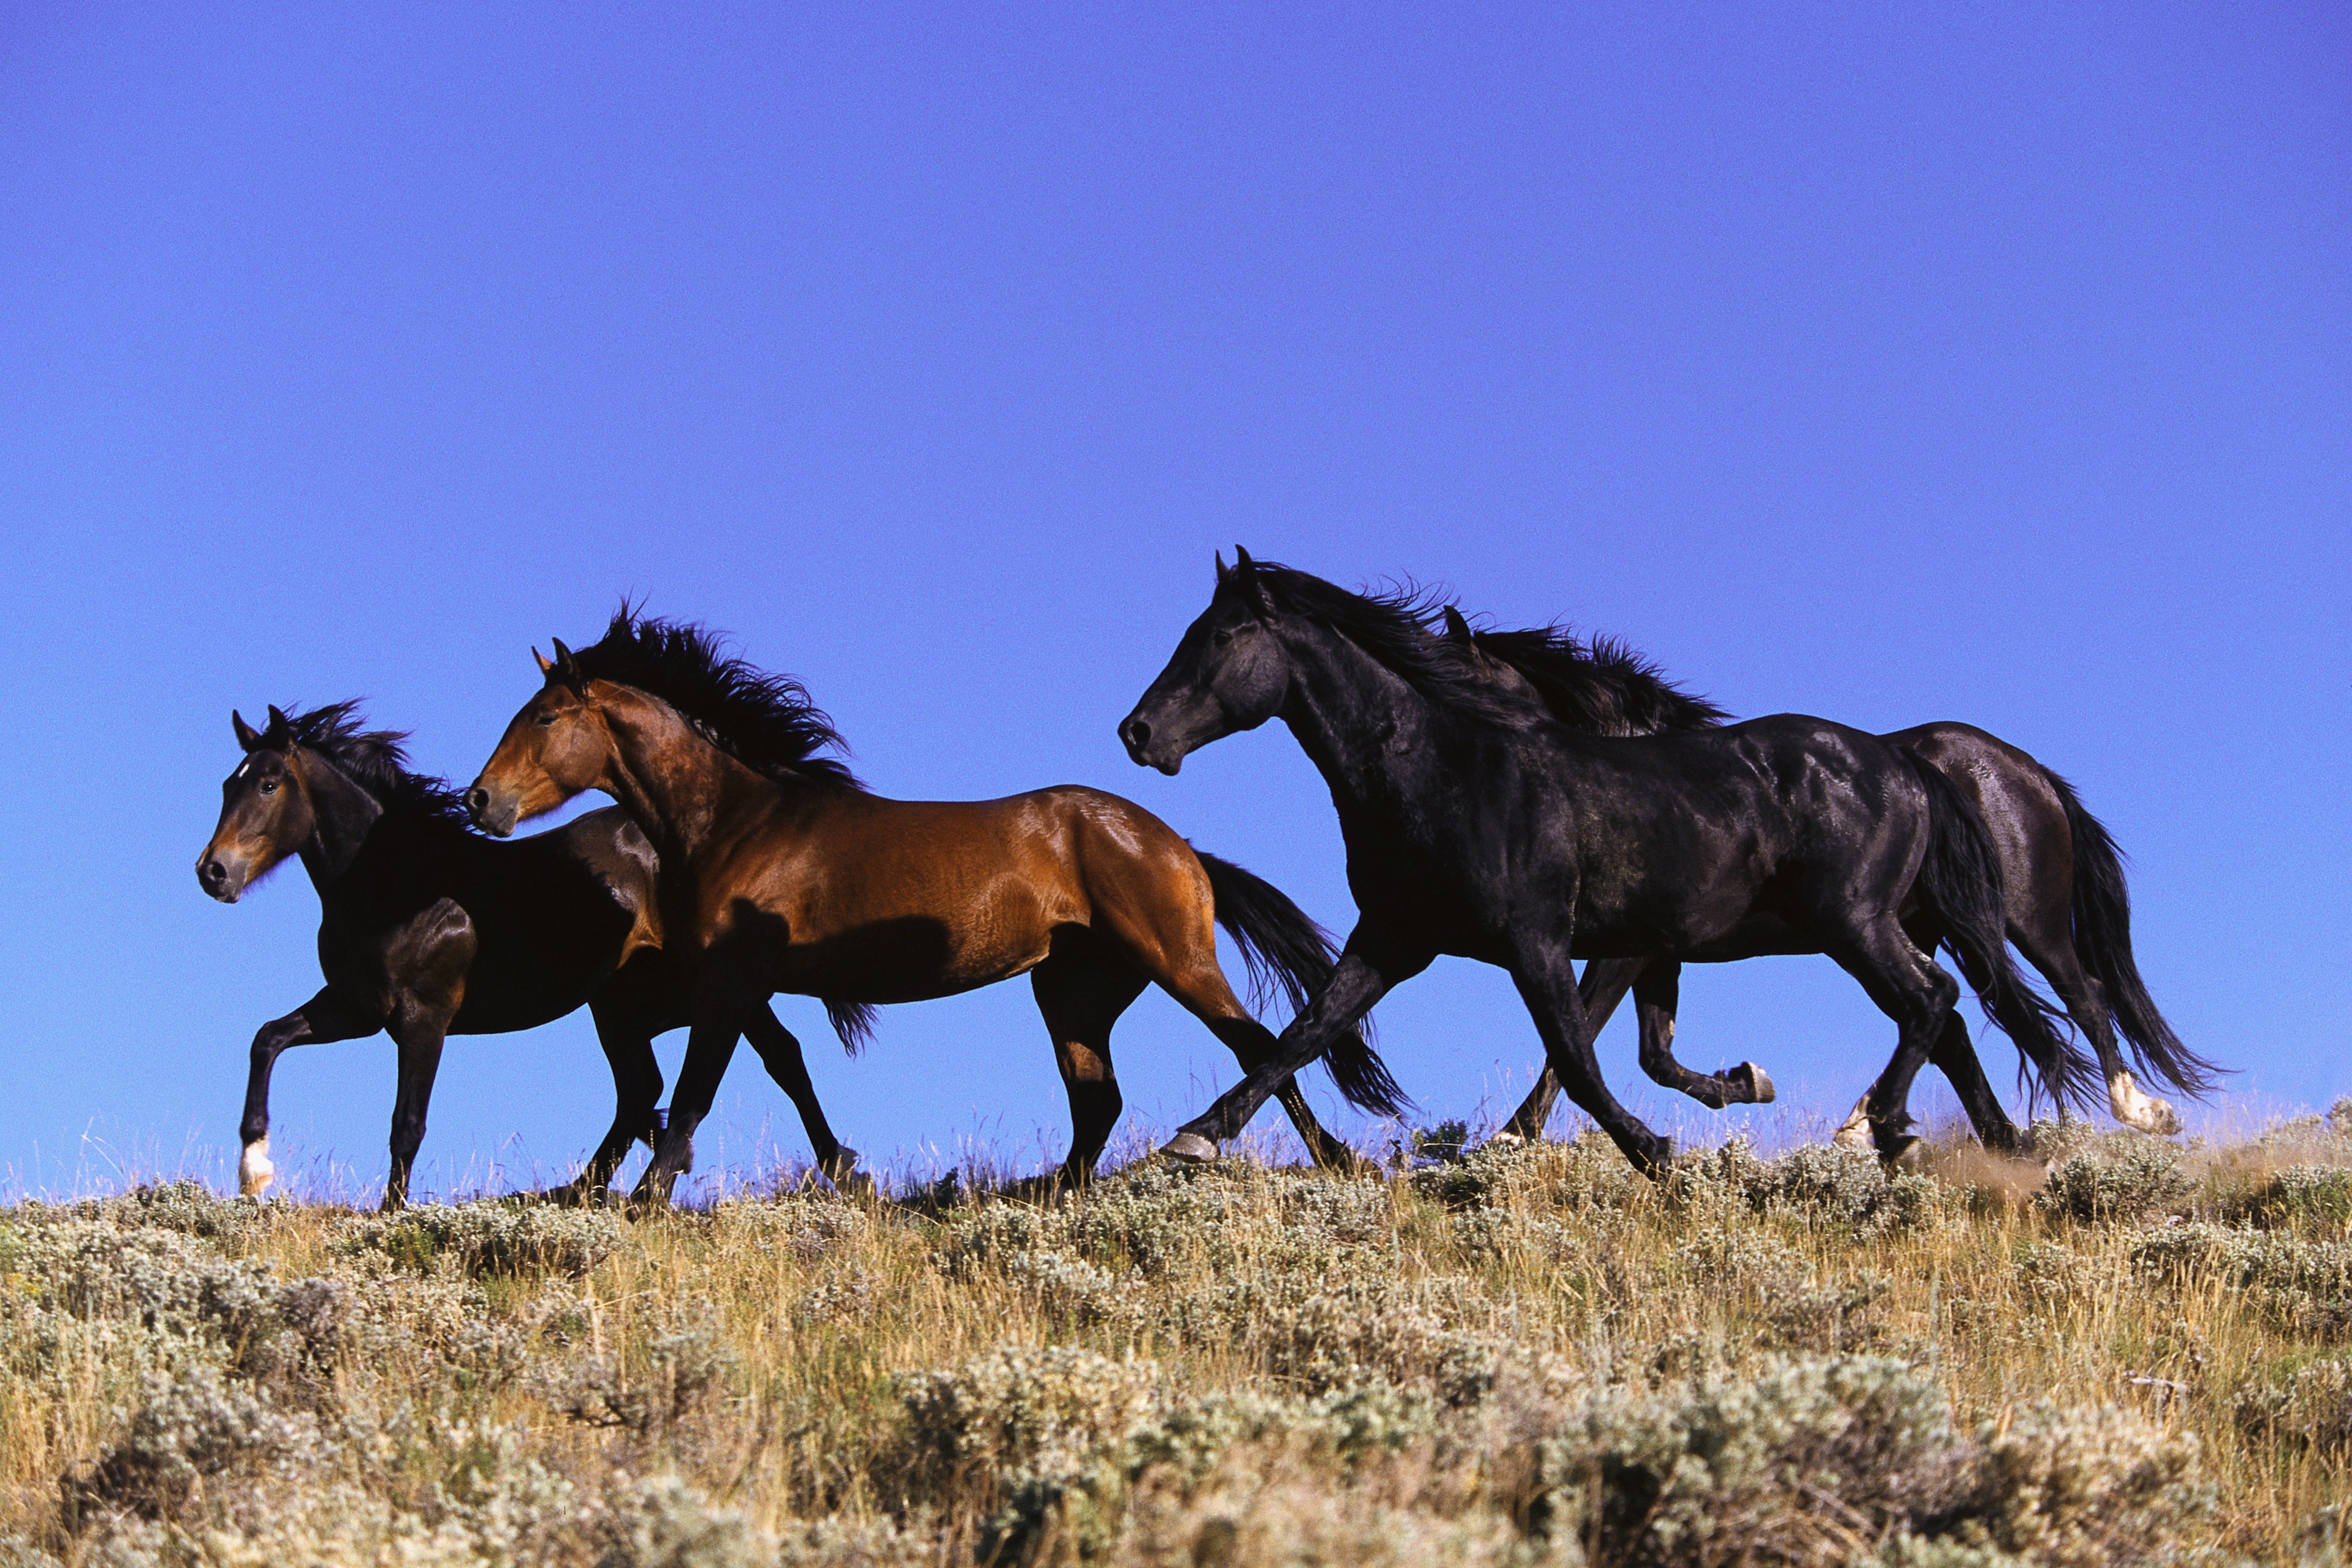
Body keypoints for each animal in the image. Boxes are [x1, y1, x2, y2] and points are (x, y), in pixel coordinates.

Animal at [195, 705, 875, 1213]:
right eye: (228, 784)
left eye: (268, 783)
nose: (213, 872)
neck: (397, 882)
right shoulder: (355, 1009)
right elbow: (267, 1039)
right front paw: (254, 1171)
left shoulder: (424, 1017)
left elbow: (407, 1122)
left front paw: (390, 1214)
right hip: (621, 1003)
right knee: (645, 1092)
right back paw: (581, 1188)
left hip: (699, 988)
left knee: (774, 1057)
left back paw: (842, 1170)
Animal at [465, 611, 1402, 1203]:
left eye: (544, 717)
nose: (481, 803)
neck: (738, 822)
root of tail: (1178, 846)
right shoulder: (745, 983)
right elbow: (784, 1066)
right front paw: (845, 1170)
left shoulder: (730, 981)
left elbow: (699, 1088)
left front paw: (650, 1196)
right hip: (1073, 989)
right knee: (1098, 1099)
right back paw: (1048, 1194)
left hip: (1176, 962)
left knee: (1262, 1045)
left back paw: (1329, 1160)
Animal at [1119, 554, 2098, 1175]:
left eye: (1226, 634)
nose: (1138, 732)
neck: (1447, 767)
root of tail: (1906, 763)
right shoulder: (1397, 938)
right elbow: (1302, 1033)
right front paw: (1194, 1139)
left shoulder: (1541, 942)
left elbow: (1577, 1055)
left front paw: (1648, 1153)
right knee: (1951, 1018)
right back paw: (1990, 1149)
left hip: (1853, 923)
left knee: (1939, 1001)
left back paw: (1881, 1131)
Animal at [1430, 606, 2220, 1147]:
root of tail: (2030, 771)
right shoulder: (1656, 953)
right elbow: (1650, 1054)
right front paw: (1745, 1083)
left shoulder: (1624, 950)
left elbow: (1579, 1037)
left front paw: (1508, 1142)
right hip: (1916, 929)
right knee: (1948, 1022)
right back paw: (1892, 1127)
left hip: (2020, 921)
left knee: (2080, 996)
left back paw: (2141, 1110)